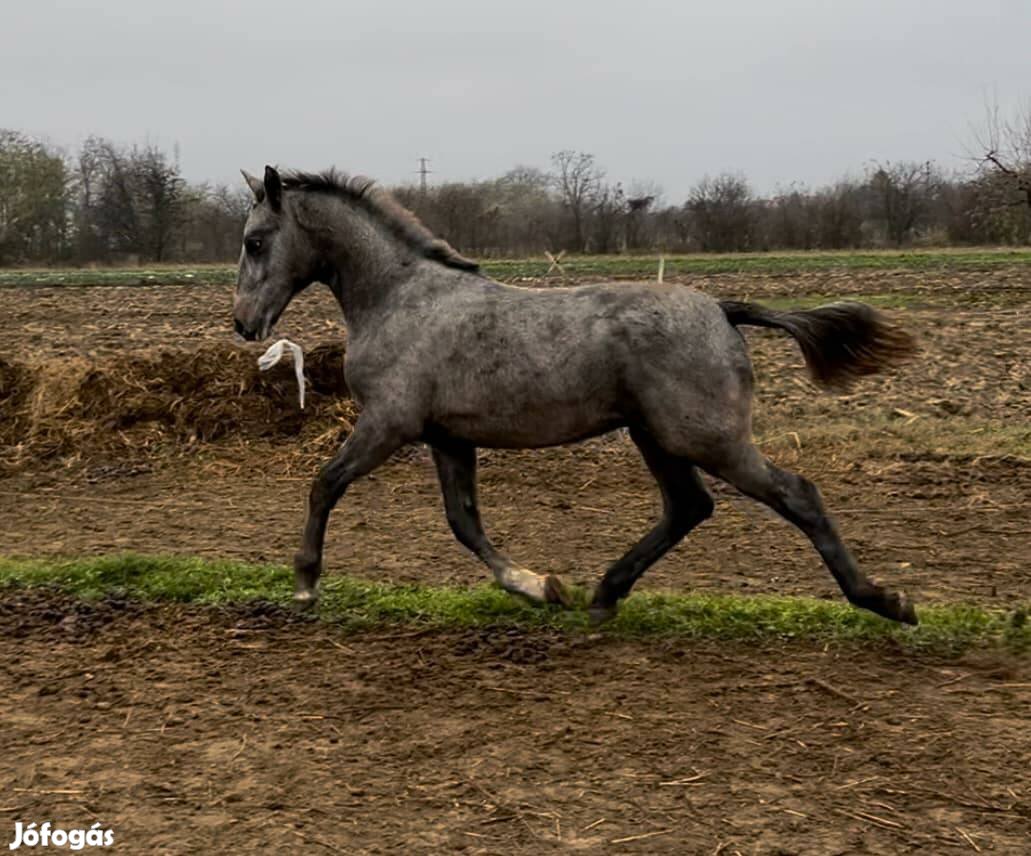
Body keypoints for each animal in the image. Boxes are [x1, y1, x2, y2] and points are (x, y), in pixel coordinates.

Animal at [234, 166, 919, 622]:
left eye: (254, 240)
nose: (243, 323)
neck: (402, 298)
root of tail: (723, 309)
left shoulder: (389, 423)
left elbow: (325, 483)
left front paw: (305, 581)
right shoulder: (447, 437)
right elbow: (464, 521)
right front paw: (541, 586)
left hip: (706, 437)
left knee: (795, 495)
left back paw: (885, 601)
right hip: (656, 436)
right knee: (688, 507)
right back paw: (605, 593)